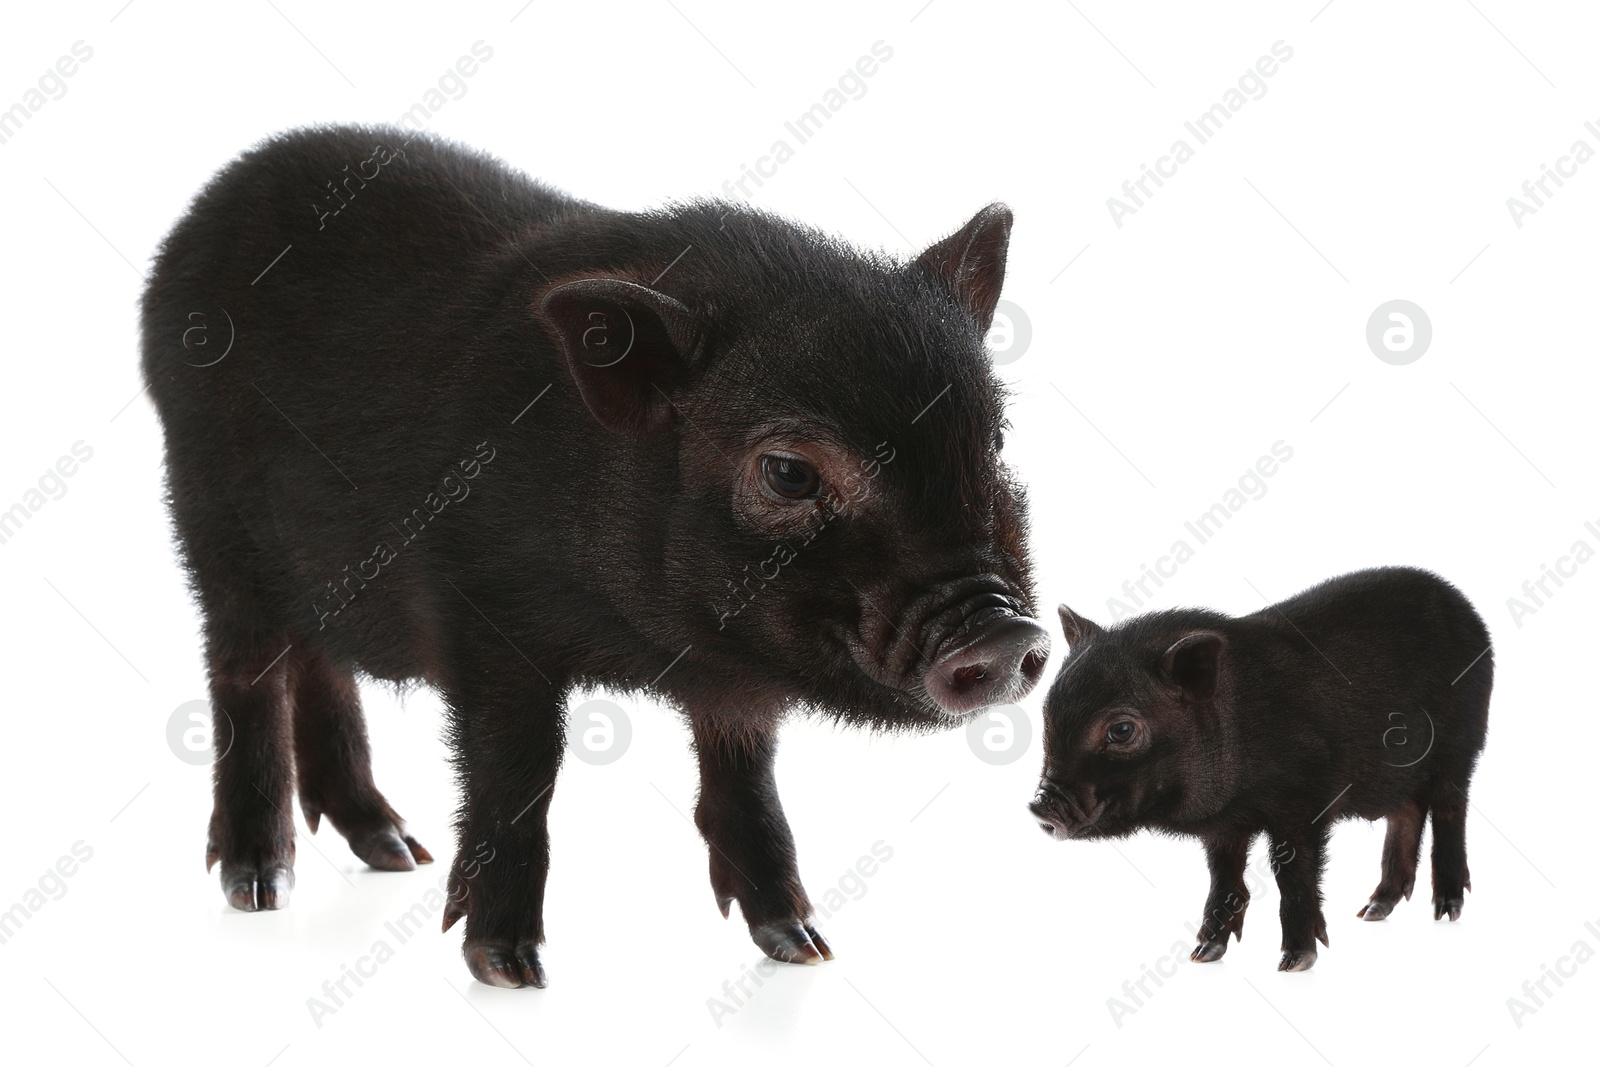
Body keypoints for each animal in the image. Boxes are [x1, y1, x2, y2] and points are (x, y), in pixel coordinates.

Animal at [140, 127, 1049, 991]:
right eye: (789, 472)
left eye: (993, 441)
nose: (1004, 633)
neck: (644, 641)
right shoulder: (485, 617)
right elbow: (517, 774)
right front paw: (508, 967)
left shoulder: (731, 676)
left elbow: (746, 774)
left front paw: (804, 946)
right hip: (211, 523)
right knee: (246, 672)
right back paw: (261, 885)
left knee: (321, 661)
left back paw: (394, 848)